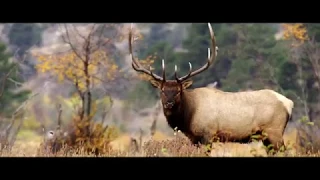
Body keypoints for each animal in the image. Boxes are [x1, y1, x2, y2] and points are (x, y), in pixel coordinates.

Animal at [129, 22, 294, 152]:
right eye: (162, 90)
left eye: (178, 91)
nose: (168, 103)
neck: (189, 116)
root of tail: (289, 103)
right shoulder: (194, 139)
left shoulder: (207, 134)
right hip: (267, 137)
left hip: (274, 131)